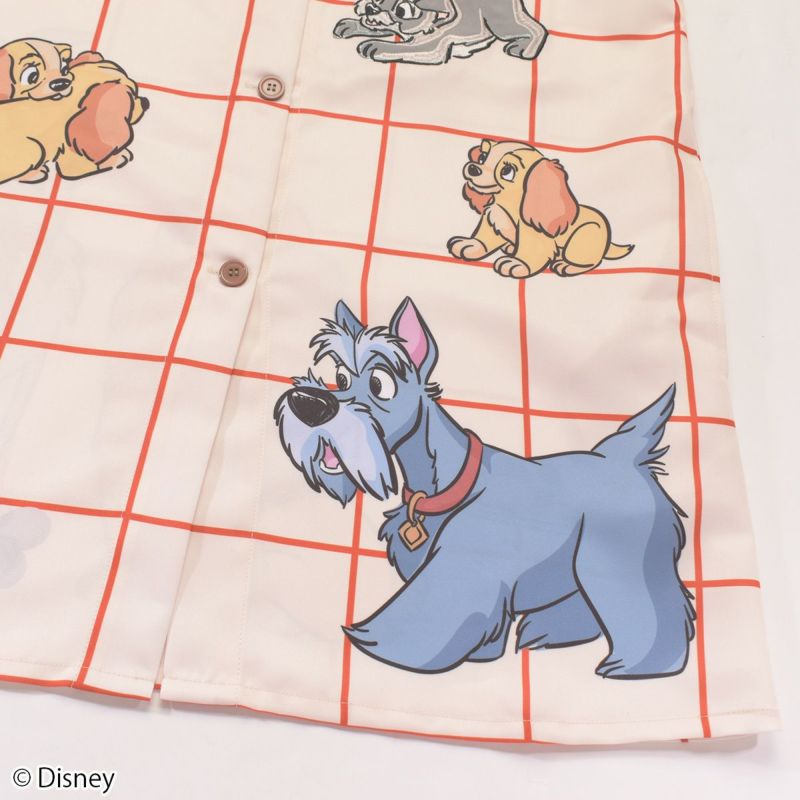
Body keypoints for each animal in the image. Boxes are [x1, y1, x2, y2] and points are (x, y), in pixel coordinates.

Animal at [0, 38, 149, 185]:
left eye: (65, 70)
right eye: (132, 96)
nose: (146, 102)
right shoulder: (73, 160)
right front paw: (114, 159)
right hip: (35, 149)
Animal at [274, 298, 695, 676]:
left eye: (380, 384)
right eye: (342, 377)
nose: (308, 402)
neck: (443, 483)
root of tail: (623, 456)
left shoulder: (462, 571)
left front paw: (375, 642)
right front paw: (481, 655)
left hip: (620, 560)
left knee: (652, 612)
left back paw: (638, 666)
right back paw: (548, 631)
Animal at [334, 0, 547, 65]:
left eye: (401, 10)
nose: (371, 8)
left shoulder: (429, 48)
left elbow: (400, 48)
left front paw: (377, 46)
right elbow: (377, 28)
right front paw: (352, 24)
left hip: (501, 24)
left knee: (534, 29)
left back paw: (524, 48)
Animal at [448, 139, 634, 279]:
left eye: (507, 171)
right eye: (483, 157)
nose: (473, 167)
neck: (508, 205)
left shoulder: (534, 236)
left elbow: (530, 253)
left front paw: (517, 263)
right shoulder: (494, 218)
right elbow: (483, 239)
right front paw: (470, 245)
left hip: (584, 237)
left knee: (591, 262)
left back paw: (566, 265)